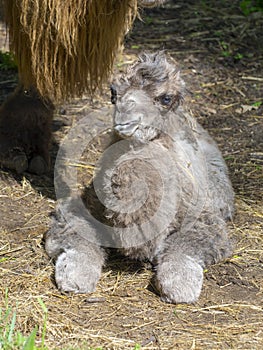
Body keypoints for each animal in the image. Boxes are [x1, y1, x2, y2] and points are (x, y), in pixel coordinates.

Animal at [45, 52, 235, 304]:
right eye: (113, 92)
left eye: (165, 98)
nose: (125, 120)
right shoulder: (83, 205)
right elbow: (75, 233)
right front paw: (76, 276)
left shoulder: (205, 218)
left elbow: (186, 244)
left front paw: (180, 286)